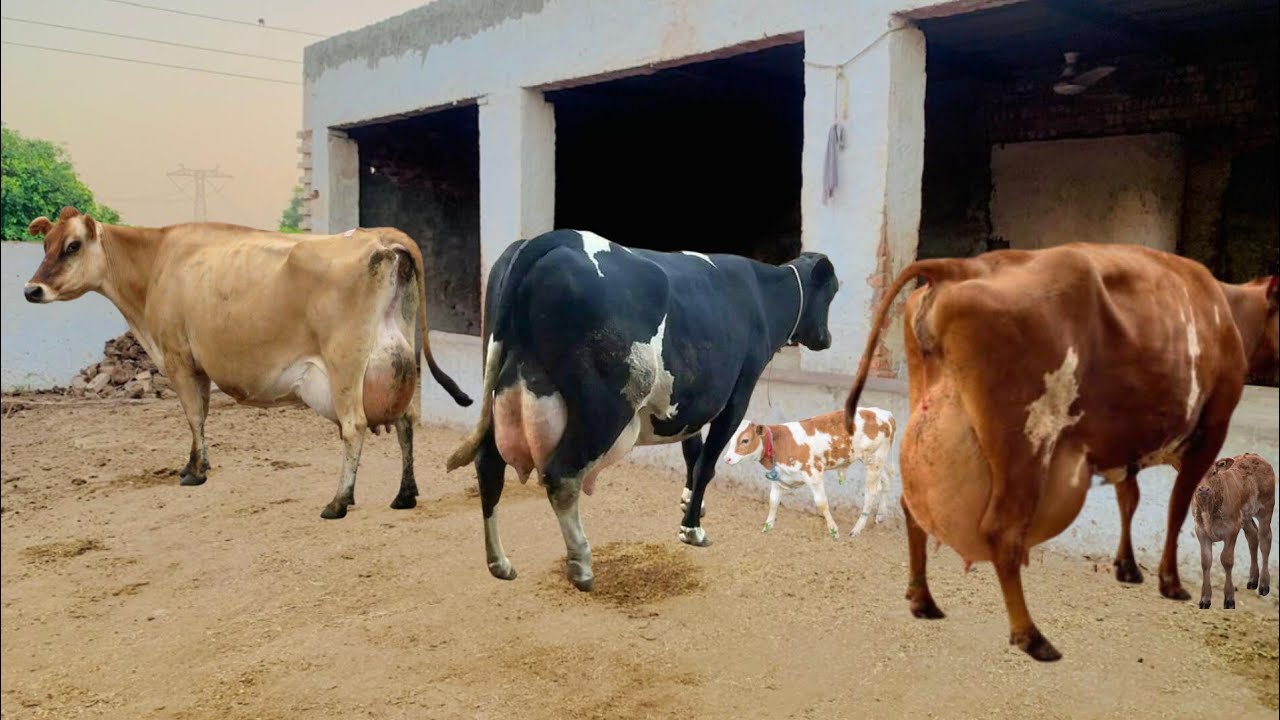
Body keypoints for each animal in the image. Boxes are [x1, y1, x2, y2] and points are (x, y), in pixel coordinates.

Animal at [23, 207, 472, 519]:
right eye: (45, 245)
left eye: (72, 246)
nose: (31, 290)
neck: (156, 265)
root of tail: (379, 237)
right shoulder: (197, 363)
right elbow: (199, 416)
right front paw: (191, 465)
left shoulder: (179, 357)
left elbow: (194, 415)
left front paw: (197, 472)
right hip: (397, 360)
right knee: (406, 422)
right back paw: (405, 494)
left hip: (345, 364)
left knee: (354, 426)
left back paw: (339, 501)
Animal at [445, 229, 840, 591]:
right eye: (832, 293)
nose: (827, 339)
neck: (761, 295)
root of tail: (552, 237)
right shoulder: (736, 395)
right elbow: (706, 464)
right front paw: (692, 529)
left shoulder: (692, 399)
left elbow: (692, 453)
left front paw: (688, 505)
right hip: (605, 407)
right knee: (561, 476)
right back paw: (581, 564)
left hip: (503, 386)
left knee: (488, 466)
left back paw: (499, 562)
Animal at [722, 408, 896, 539]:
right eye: (730, 439)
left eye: (745, 440)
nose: (727, 459)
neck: (779, 443)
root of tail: (885, 414)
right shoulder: (778, 478)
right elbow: (773, 501)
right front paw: (767, 526)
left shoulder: (814, 474)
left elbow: (821, 503)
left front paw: (833, 530)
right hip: (877, 460)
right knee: (888, 477)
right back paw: (881, 515)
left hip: (873, 459)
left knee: (872, 492)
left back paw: (857, 529)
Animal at [1193, 453, 1275, 609]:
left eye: (1214, 472)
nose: (1204, 489)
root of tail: (1255, 456)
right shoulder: (1200, 531)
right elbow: (1206, 561)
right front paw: (1205, 600)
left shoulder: (1232, 529)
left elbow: (1226, 560)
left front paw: (1229, 599)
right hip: (1246, 516)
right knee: (1252, 536)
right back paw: (1252, 580)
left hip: (1266, 508)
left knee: (1265, 540)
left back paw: (1263, 585)